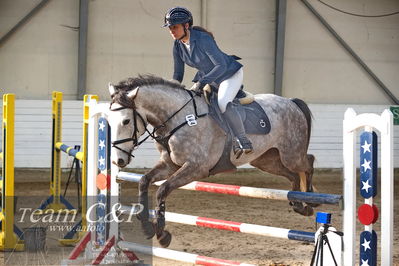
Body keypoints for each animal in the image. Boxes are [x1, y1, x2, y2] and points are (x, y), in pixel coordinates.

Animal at [108, 74, 318, 247]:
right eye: (109, 120)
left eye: (126, 121)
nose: (118, 160)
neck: (179, 117)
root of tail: (291, 102)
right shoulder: (170, 165)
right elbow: (144, 181)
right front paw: (147, 227)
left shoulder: (196, 168)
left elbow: (162, 190)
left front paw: (162, 234)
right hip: (266, 160)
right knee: (293, 175)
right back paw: (299, 204)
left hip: (291, 154)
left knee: (308, 162)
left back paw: (310, 201)